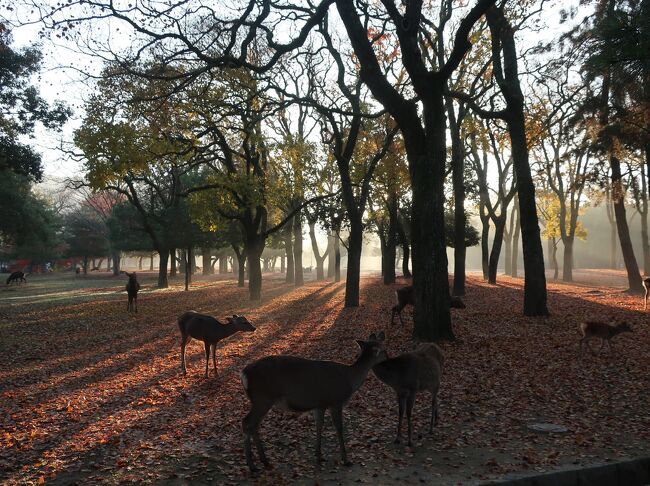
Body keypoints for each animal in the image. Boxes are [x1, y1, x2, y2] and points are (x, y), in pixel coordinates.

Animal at [240, 332, 388, 472]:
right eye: (384, 350)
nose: (388, 358)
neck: (349, 380)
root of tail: (244, 373)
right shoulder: (336, 401)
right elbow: (339, 428)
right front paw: (345, 460)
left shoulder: (320, 404)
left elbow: (319, 425)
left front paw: (318, 455)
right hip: (263, 398)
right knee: (247, 422)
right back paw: (252, 465)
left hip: (261, 400)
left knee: (254, 425)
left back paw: (264, 461)